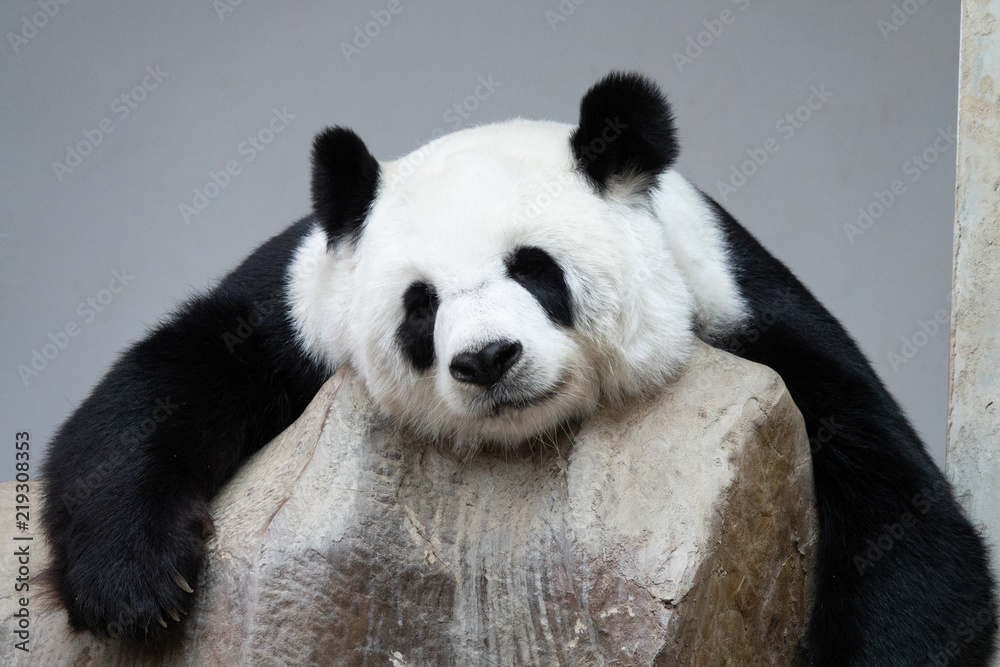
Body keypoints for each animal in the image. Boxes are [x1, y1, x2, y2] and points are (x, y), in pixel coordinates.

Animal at [41, 72, 996, 665]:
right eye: (419, 306)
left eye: (535, 268)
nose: (488, 358)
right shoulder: (303, 305)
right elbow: (165, 381)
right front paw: (136, 584)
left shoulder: (743, 312)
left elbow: (896, 510)